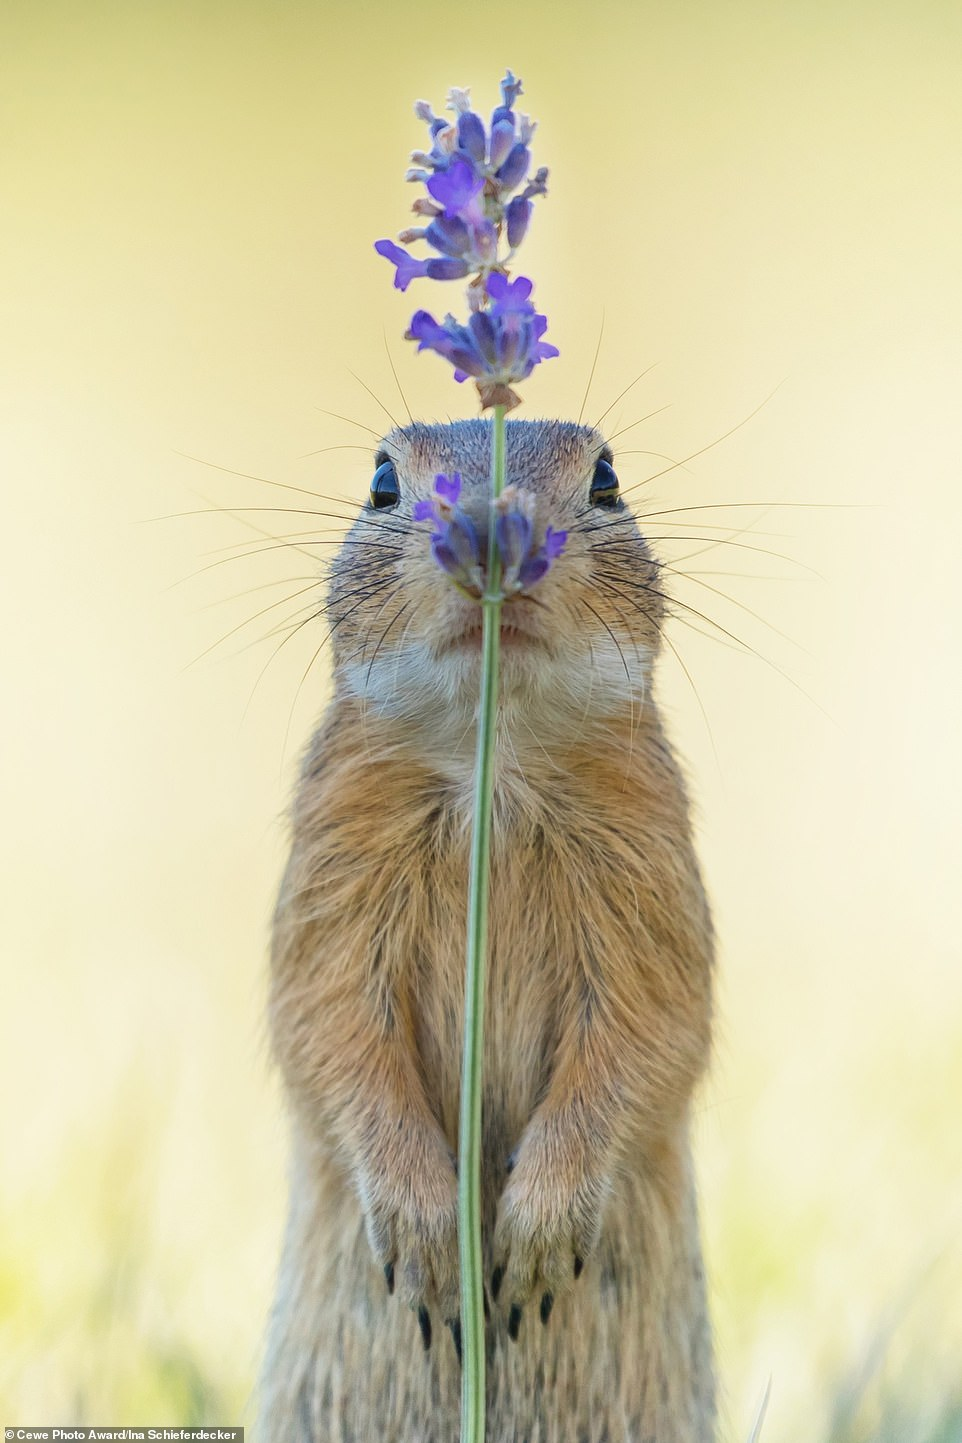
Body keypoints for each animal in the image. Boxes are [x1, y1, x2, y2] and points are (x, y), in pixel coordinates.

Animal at [258, 418, 716, 1443]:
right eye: (382, 482)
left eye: (608, 477)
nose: (490, 536)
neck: (491, 767)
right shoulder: (328, 877)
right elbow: (329, 1031)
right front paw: (431, 1241)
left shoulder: (652, 876)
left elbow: (647, 1038)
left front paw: (534, 1242)